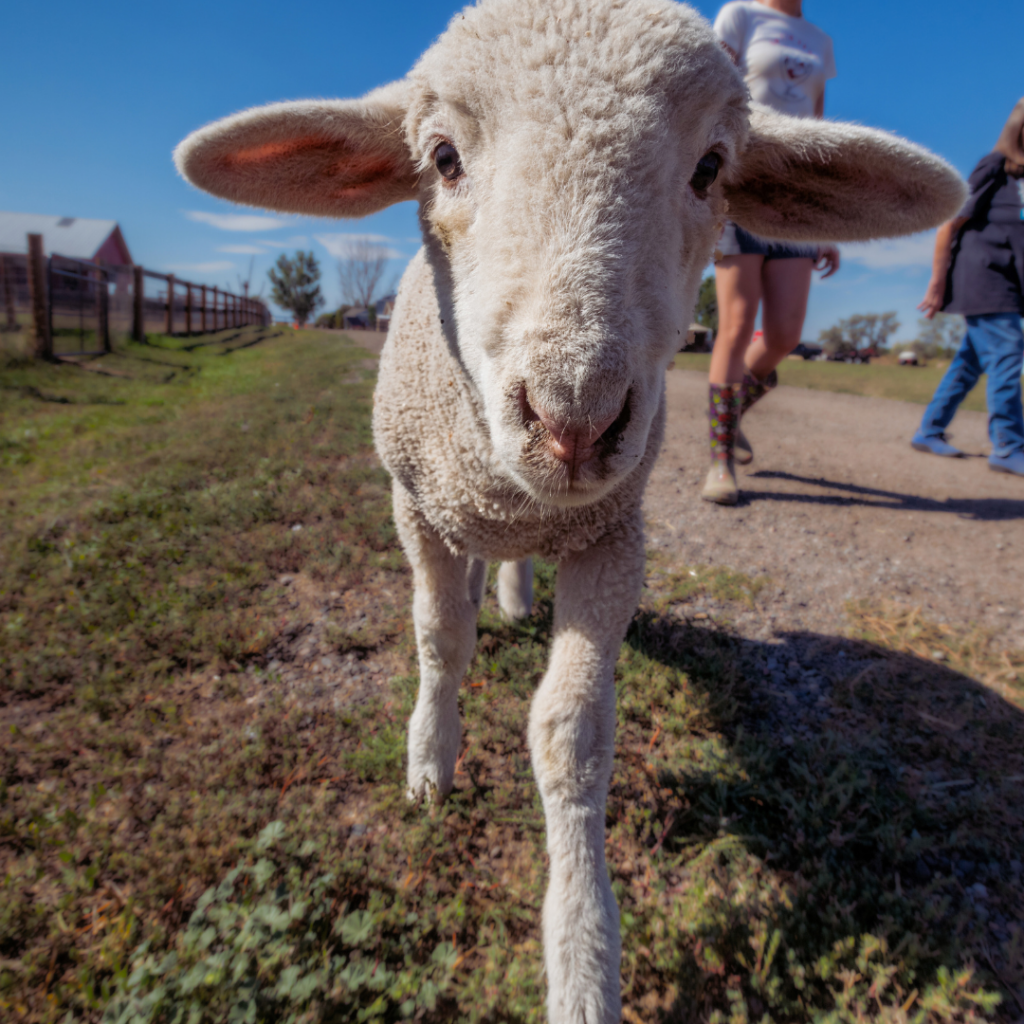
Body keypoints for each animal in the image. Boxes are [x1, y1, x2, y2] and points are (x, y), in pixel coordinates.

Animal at [172, 4, 962, 1019]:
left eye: (712, 167)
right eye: (441, 158)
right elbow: (439, 641)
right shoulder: (413, 505)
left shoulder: (613, 540)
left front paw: (583, 958)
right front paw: (430, 762)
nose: (572, 417)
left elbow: (571, 736)